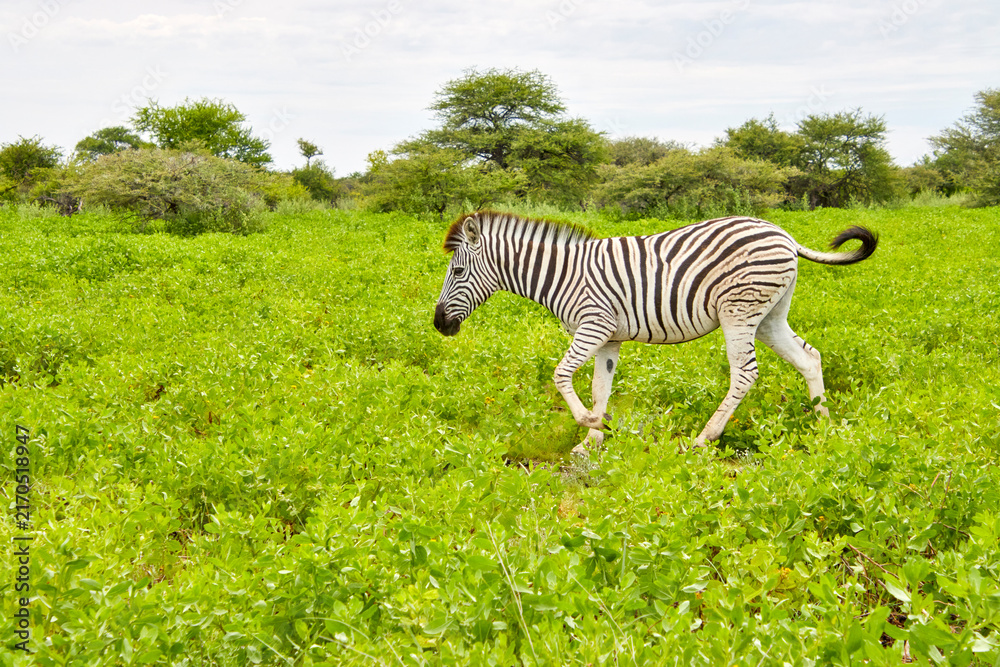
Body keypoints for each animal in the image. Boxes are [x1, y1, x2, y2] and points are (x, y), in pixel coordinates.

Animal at [433, 211, 878, 452]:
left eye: (458, 272)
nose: (438, 324)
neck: (561, 274)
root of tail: (784, 234)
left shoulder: (593, 325)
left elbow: (560, 375)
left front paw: (589, 423)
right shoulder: (609, 336)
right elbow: (600, 387)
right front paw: (593, 439)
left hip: (739, 308)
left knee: (745, 373)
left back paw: (704, 438)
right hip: (769, 315)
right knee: (809, 358)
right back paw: (823, 427)